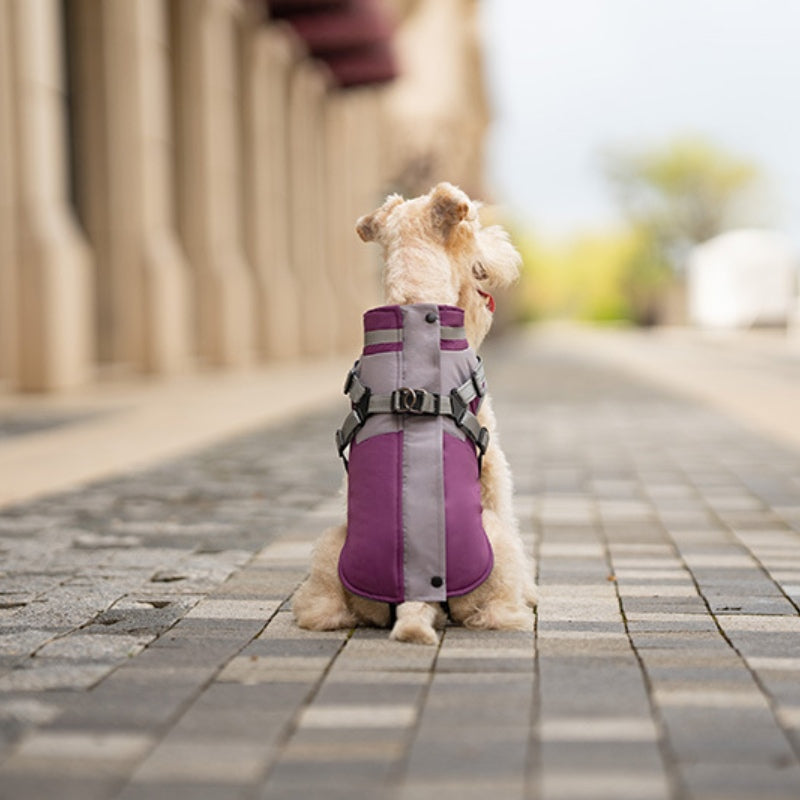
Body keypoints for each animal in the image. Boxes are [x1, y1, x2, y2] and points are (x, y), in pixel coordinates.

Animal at [290, 183, 536, 644]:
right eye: (471, 223)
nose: (505, 248)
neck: (413, 303)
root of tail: (417, 591)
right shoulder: (493, 463)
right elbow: (507, 505)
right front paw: (532, 590)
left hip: (334, 543)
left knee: (323, 606)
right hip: (492, 541)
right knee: (491, 607)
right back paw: (517, 607)